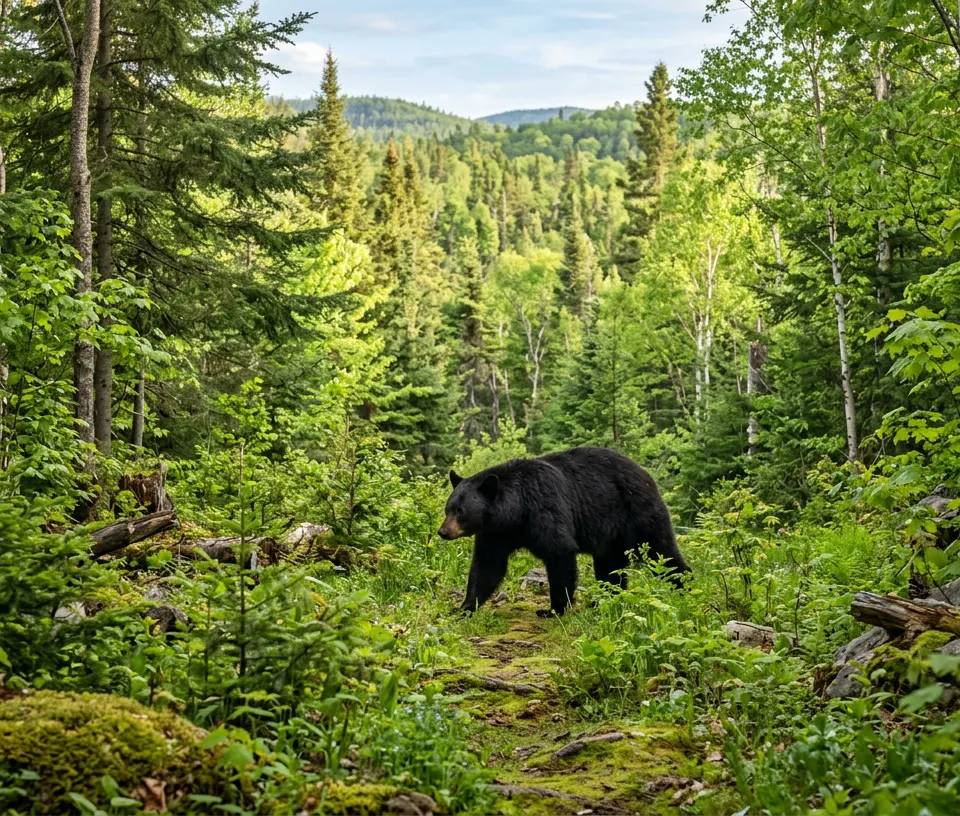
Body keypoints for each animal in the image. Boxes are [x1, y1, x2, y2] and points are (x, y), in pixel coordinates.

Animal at [438, 446, 690, 617]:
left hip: (638, 514)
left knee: (662, 552)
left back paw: (684, 587)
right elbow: (487, 566)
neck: (515, 512)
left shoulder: (544, 509)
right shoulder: (496, 534)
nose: (442, 531)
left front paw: (554, 609)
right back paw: (604, 601)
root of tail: (647, 475)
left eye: (460, 511)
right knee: (610, 567)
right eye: (448, 508)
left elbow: (559, 554)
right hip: (612, 537)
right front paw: (464, 607)